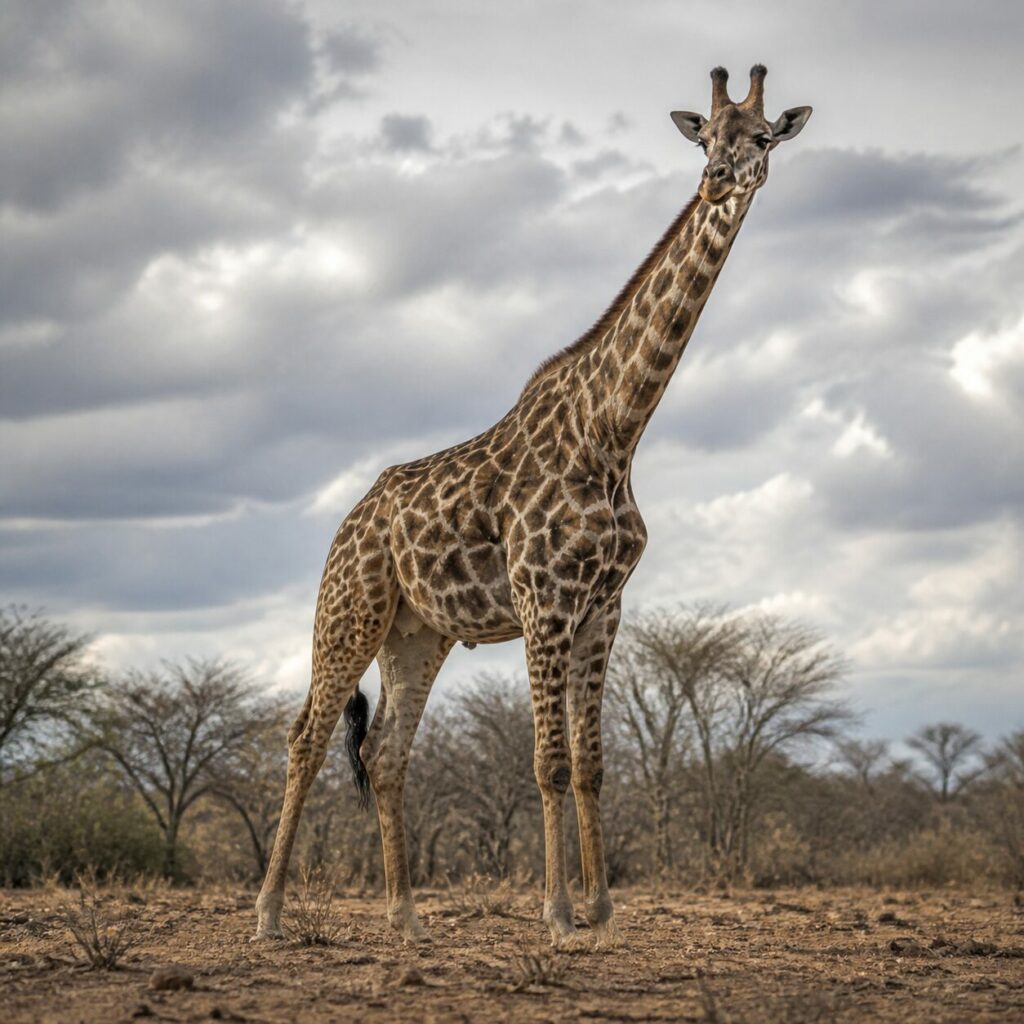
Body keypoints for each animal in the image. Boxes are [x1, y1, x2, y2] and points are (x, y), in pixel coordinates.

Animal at [254, 64, 811, 948]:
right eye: (704, 140)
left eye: (762, 137)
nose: (721, 179)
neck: (614, 432)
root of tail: (349, 523)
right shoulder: (542, 596)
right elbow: (547, 763)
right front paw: (556, 913)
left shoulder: (603, 607)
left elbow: (590, 764)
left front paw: (601, 907)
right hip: (350, 608)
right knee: (307, 733)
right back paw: (270, 914)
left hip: (418, 633)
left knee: (385, 753)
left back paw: (406, 917)